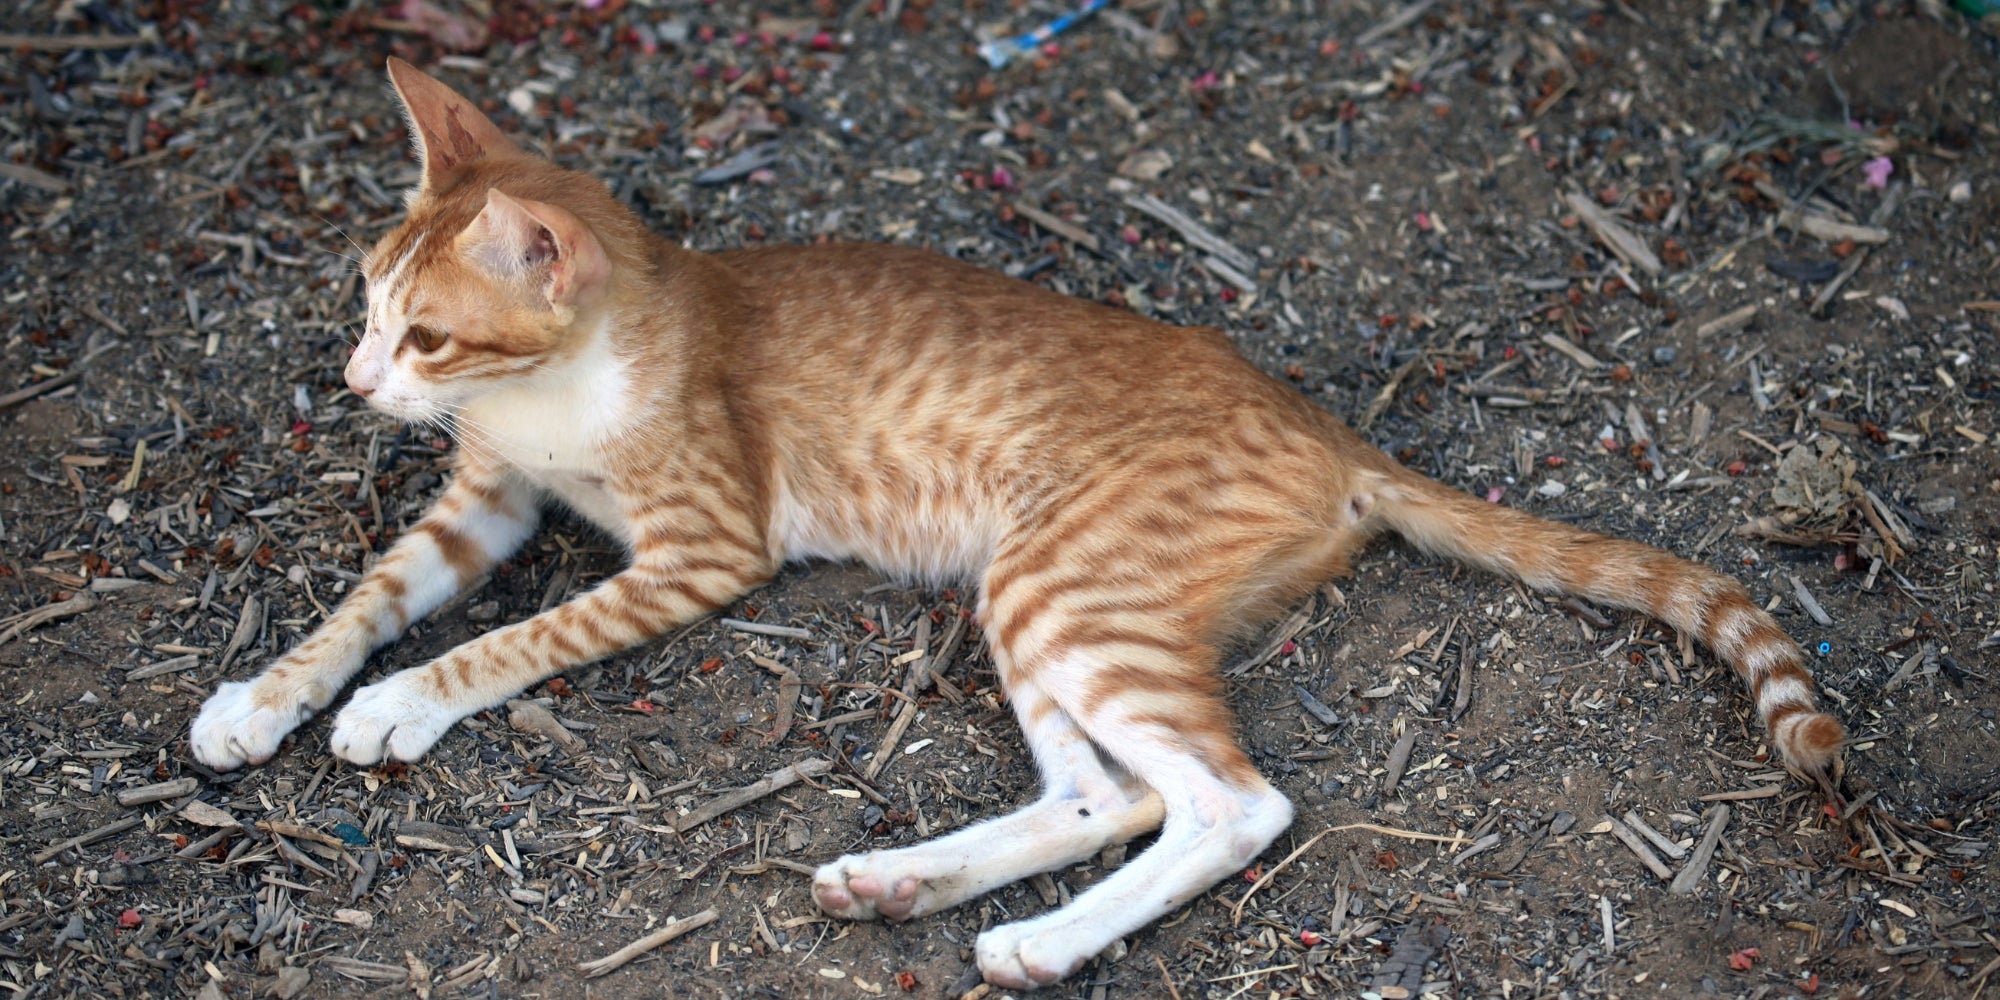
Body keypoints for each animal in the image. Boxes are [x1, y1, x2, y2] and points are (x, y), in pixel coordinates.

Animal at [188, 58, 1840, 988]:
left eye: (426, 335)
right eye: (364, 304)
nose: (354, 380)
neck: (555, 395)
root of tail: (1324, 424)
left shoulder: (701, 545)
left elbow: (512, 640)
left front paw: (400, 705)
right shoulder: (483, 500)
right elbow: (361, 601)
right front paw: (262, 700)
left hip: (1066, 578)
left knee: (1230, 805)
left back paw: (1037, 943)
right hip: (1038, 600)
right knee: (1110, 796)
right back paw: (906, 881)